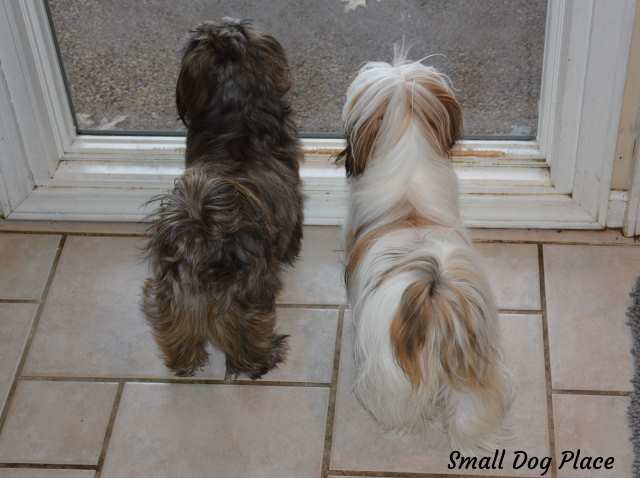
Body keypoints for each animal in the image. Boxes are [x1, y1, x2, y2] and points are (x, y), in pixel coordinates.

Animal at [340, 50, 510, 450]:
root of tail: (435, 303)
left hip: (390, 375)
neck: (409, 201)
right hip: (473, 368)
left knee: (398, 404)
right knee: (473, 408)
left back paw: (397, 429)